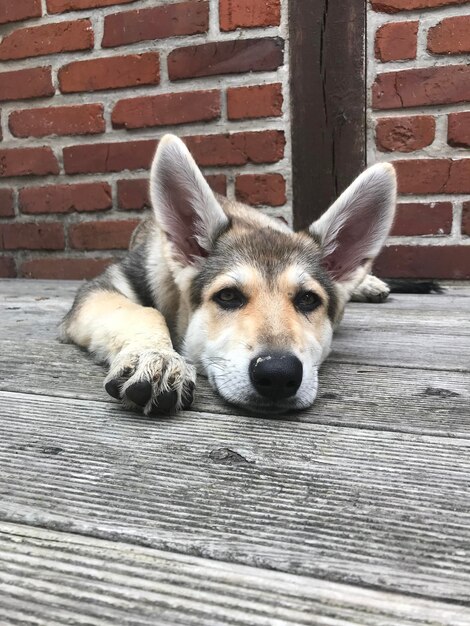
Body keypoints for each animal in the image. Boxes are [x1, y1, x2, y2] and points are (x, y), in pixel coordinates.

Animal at [60, 133, 394, 414]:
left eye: (308, 300)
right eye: (228, 296)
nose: (277, 374)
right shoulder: (103, 287)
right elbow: (142, 312)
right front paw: (155, 355)